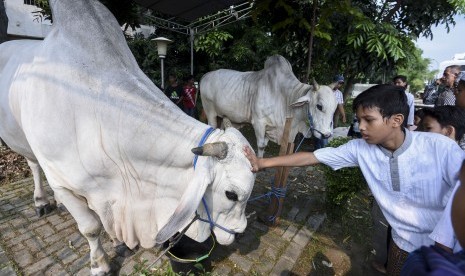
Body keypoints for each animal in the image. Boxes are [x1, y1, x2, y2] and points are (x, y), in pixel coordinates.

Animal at [0, 0, 254, 274]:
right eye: (231, 194)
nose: (240, 233)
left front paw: (116, 240)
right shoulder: (61, 181)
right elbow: (90, 227)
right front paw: (100, 264)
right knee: (34, 165)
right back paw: (41, 201)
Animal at [199, 55, 338, 157]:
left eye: (335, 108)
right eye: (319, 106)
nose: (326, 135)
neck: (284, 96)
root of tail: (205, 76)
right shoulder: (259, 123)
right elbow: (261, 146)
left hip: (222, 116)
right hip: (210, 112)